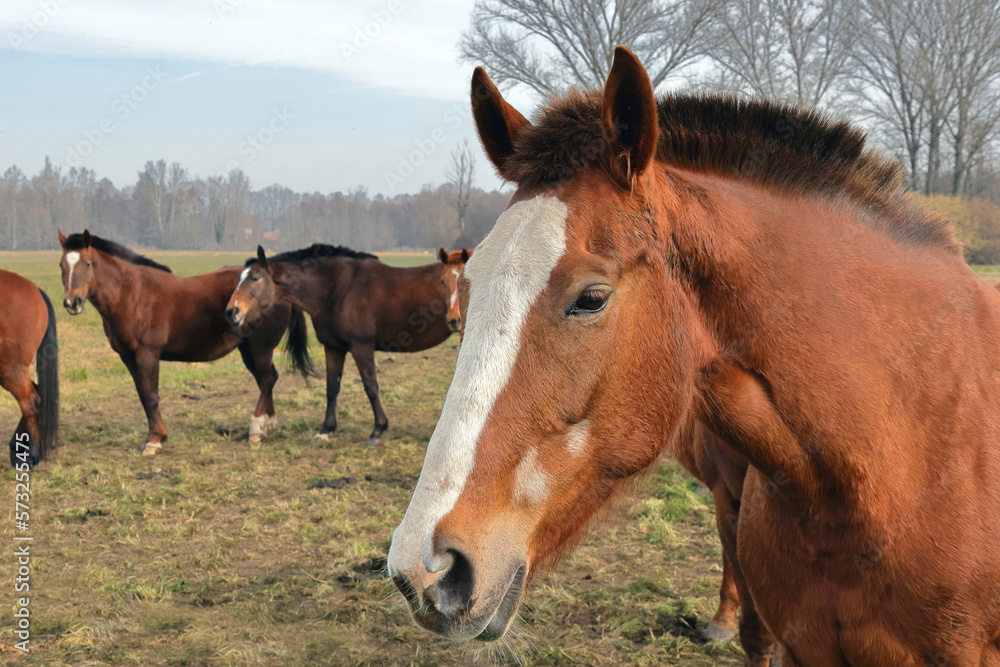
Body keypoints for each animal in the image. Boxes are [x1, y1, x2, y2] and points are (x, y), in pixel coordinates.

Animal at [58, 230, 311, 455]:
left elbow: (151, 395)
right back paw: (268, 425)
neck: (132, 294)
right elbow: (142, 395)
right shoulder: (128, 356)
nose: (72, 302)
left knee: (268, 379)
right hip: (248, 350)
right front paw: (155, 436)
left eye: (88, 264)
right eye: (61, 265)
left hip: (260, 349)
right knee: (266, 380)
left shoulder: (147, 355)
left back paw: (257, 429)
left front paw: (155, 439)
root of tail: (278, 288)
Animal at [225, 245, 471, 446]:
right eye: (238, 280)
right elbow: (331, 388)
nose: (231, 311)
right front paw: (326, 430)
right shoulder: (333, 348)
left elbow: (371, 387)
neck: (338, 288)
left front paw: (377, 430)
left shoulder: (361, 346)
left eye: (255, 278)